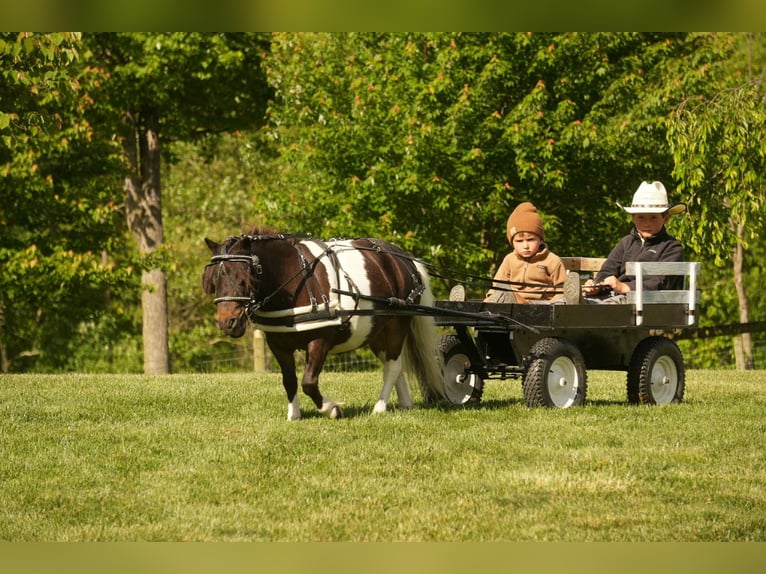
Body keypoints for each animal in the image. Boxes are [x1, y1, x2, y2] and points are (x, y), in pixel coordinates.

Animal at [202, 229, 446, 420]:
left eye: (244, 279)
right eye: (213, 280)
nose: (227, 323)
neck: (294, 280)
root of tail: (405, 259)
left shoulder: (320, 339)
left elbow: (308, 382)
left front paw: (332, 409)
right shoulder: (278, 344)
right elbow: (289, 380)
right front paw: (294, 415)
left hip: (397, 323)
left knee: (393, 365)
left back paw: (380, 407)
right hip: (376, 330)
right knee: (392, 364)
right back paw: (405, 403)